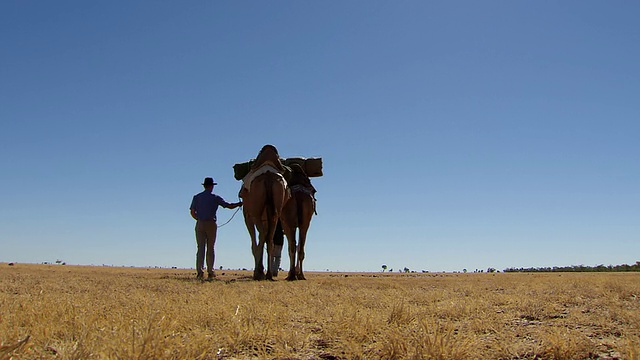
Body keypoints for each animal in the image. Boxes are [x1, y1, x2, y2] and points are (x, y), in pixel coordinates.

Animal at [241, 145, 288, 280]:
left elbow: (254, 242)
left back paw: (259, 273)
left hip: (256, 212)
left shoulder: (247, 215)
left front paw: (258, 270)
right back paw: (268, 274)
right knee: (270, 238)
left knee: (261, 236)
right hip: (275, 211)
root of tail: (267, 176)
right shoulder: (266, 217)